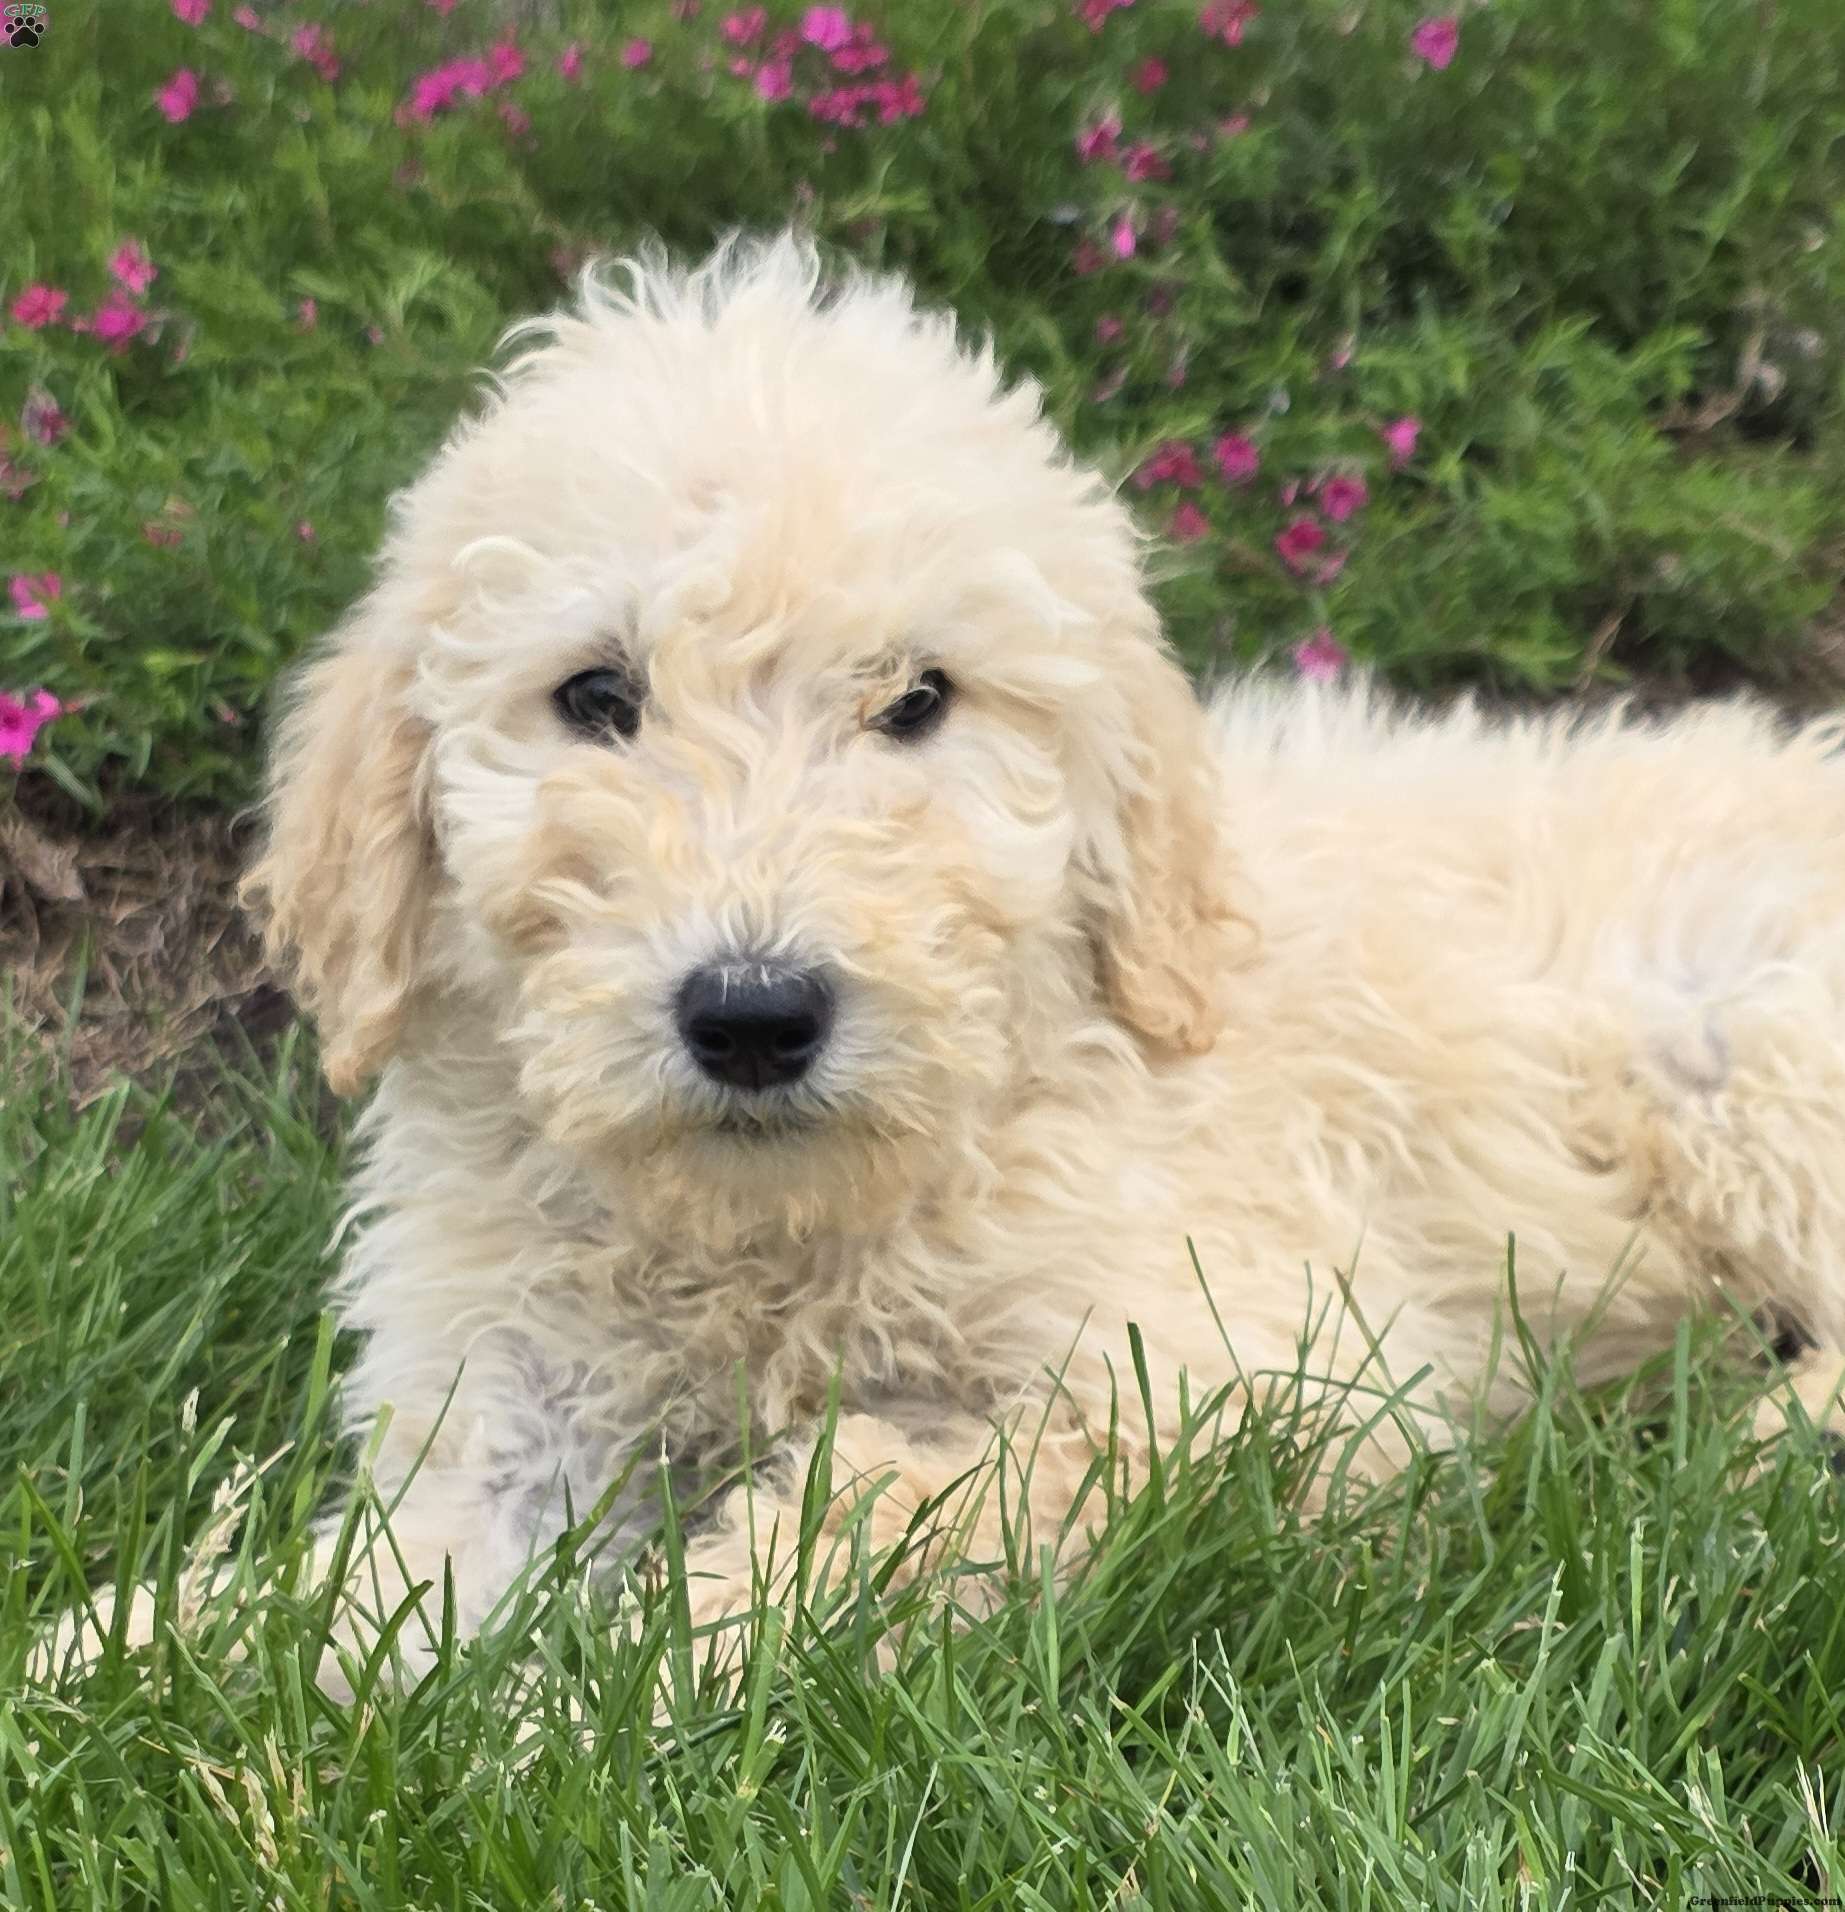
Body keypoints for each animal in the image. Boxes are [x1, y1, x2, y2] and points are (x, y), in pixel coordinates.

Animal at [46, 236, 1845, 1689]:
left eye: (919, 700)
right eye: (596, 696)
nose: (753, 1017)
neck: (770, 1231)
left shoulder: (1246, 1380)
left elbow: (886, 1503)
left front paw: (609, 1692)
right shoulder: (515, 1406)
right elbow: (374, 1586)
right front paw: (132, 1659)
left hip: (1749, 1053)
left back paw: (1754, 1451)